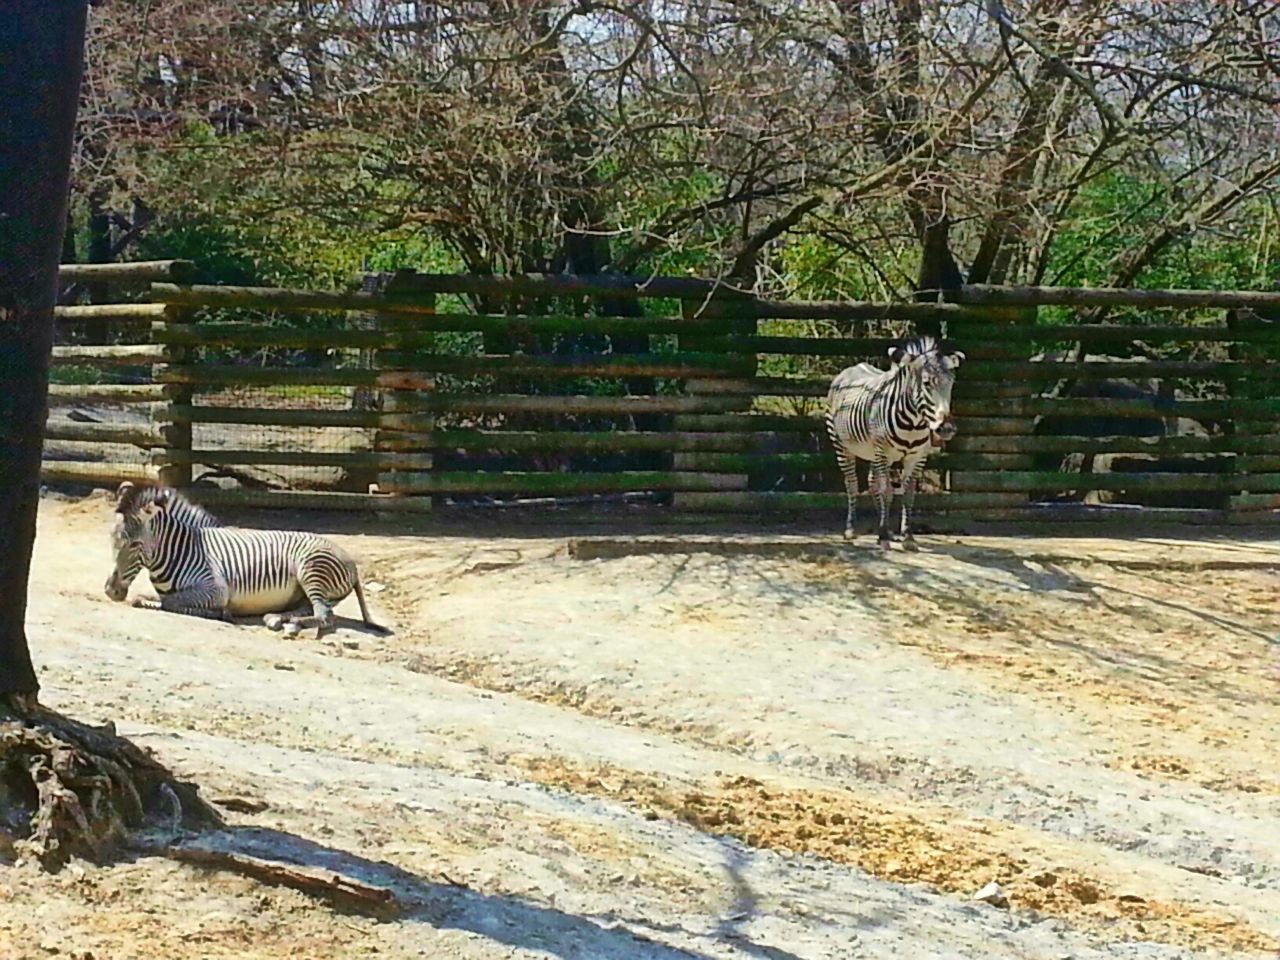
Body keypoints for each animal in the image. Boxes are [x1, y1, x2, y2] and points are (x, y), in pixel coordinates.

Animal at [104, 481, 378, 639]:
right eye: (112, 538)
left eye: (135, 544)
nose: (111, 591)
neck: (183, 549)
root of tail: (351, 562)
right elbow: (145, 598)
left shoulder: (215, 589)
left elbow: (170, 602)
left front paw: (221, 614)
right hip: (304, 588)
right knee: (310, 608)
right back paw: (276, 618)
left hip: (310, 570)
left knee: (325, 615)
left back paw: (290, 624)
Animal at [825, 336, 965, 550]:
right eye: (926, 383)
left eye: (951, 384)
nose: (947, 429)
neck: (913, 423)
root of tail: (851, 368)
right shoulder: (883, 452)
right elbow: (887, 491)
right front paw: (883, 536)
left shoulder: (917, 457)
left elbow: (908, 494)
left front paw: (907, 537)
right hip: (842, 445)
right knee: (852, 484)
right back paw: (851, 530)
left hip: (873, 452)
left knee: (872, 483)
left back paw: (887, 530)